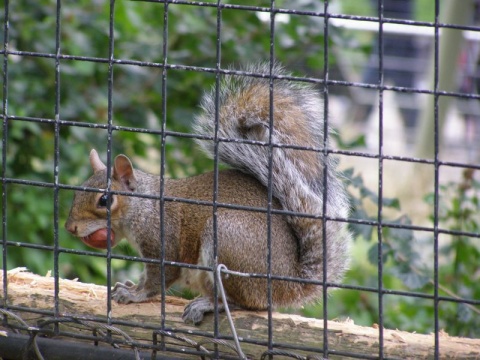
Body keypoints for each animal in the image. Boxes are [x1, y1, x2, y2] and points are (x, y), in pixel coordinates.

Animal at [65, 63, 350, 324]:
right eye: (78, 191)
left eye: (105, 200)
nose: (70, 228)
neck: (144, 206)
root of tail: (287, 283)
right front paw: (128, 285)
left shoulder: (162, 241)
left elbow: (158, 279)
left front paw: (134, 295)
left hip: (226, 237)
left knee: (247, 303)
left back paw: (209, 304)